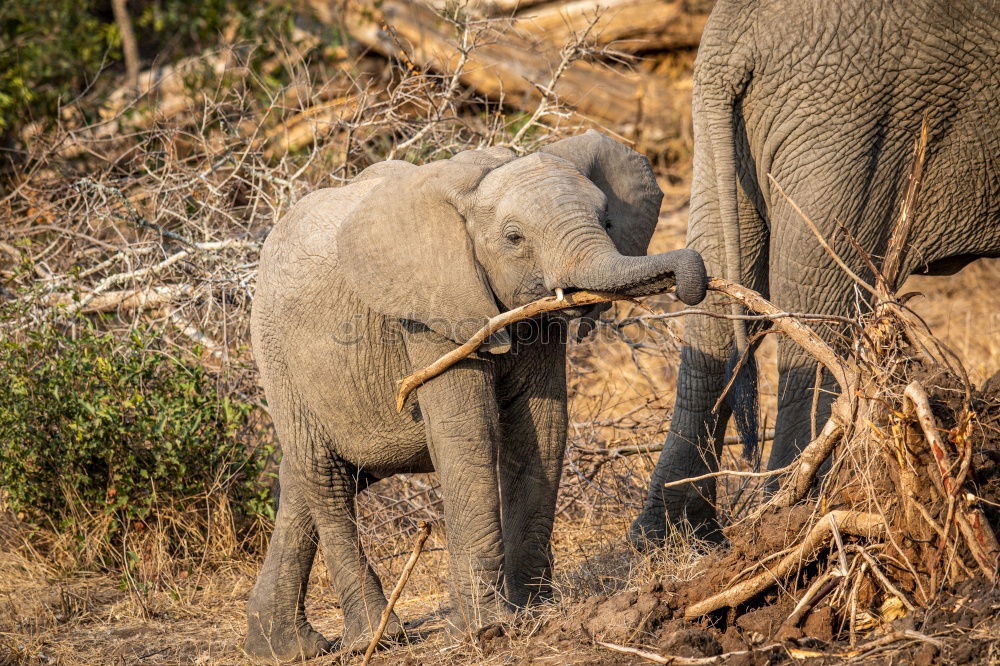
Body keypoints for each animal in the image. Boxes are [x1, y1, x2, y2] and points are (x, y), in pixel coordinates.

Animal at [245, 130, 708, 660]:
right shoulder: (432, 312)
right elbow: (467, 433)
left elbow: (542, 428)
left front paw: (534, 613)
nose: (694, 278)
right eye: (514, 238)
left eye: (608, 221)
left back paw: (282, 648)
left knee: (312, 476)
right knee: (325, 476)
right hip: (277, 354)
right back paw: (378, 637)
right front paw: (484, 631)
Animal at [632, 0, 1000, 544]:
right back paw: (795, 517)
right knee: (815, 309)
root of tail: (727, 46)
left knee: (713, 293)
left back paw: (670, 537)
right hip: (854, 129)